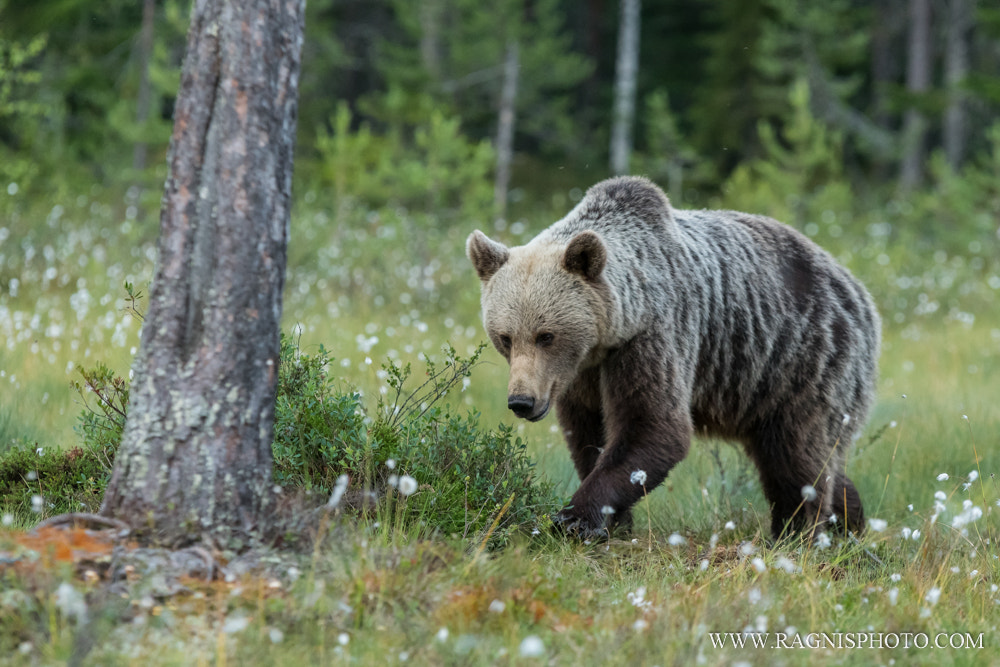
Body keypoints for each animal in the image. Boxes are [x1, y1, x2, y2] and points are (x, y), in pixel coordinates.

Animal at [466, 176, 880, 541]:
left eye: (546, 335)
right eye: (505, 337)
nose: (522, 401)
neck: (609, 333)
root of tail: (857, 288)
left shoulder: (653, 337)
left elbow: (654, 426)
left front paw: (574, 518)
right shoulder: (579, 374)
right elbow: (587, 433)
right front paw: (611, 521)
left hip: (802, 360)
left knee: (796, 457)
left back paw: (797, 532)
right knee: (814, 458)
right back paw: (850, 520)